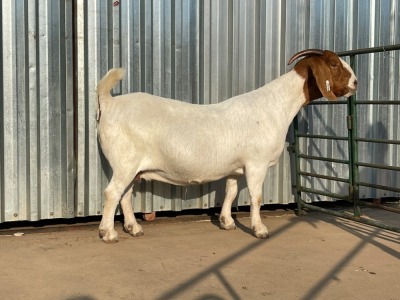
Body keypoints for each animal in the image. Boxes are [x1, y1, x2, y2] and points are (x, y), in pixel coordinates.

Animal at [96, 48, 356, 241]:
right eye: (333, 64)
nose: (355, 82)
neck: (275, 107)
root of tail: (109, 103)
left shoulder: (235, 168)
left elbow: (230, 193)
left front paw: (227, 222)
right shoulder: (256, 164)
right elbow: (256, 196)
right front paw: (260, 230)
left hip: (133, 168)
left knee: (125, 195)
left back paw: (134, 229)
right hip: (125, 162)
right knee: (112, 193)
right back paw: (108, 233)